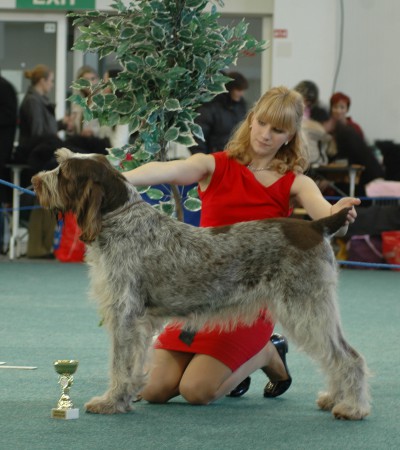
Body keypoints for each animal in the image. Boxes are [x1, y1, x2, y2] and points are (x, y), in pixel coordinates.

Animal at [32, 149, 372, 420]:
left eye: (63, 172)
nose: (35, 180)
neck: (119, 219)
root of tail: (317, 226)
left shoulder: (125, 313)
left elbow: (120, 363)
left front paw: (111, 401)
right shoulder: (138, 321)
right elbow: (133, 364)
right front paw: (126, 397)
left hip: (306, 306)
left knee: (348, 356)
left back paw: (352, 407)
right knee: (336, 354)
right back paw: (333, 399)